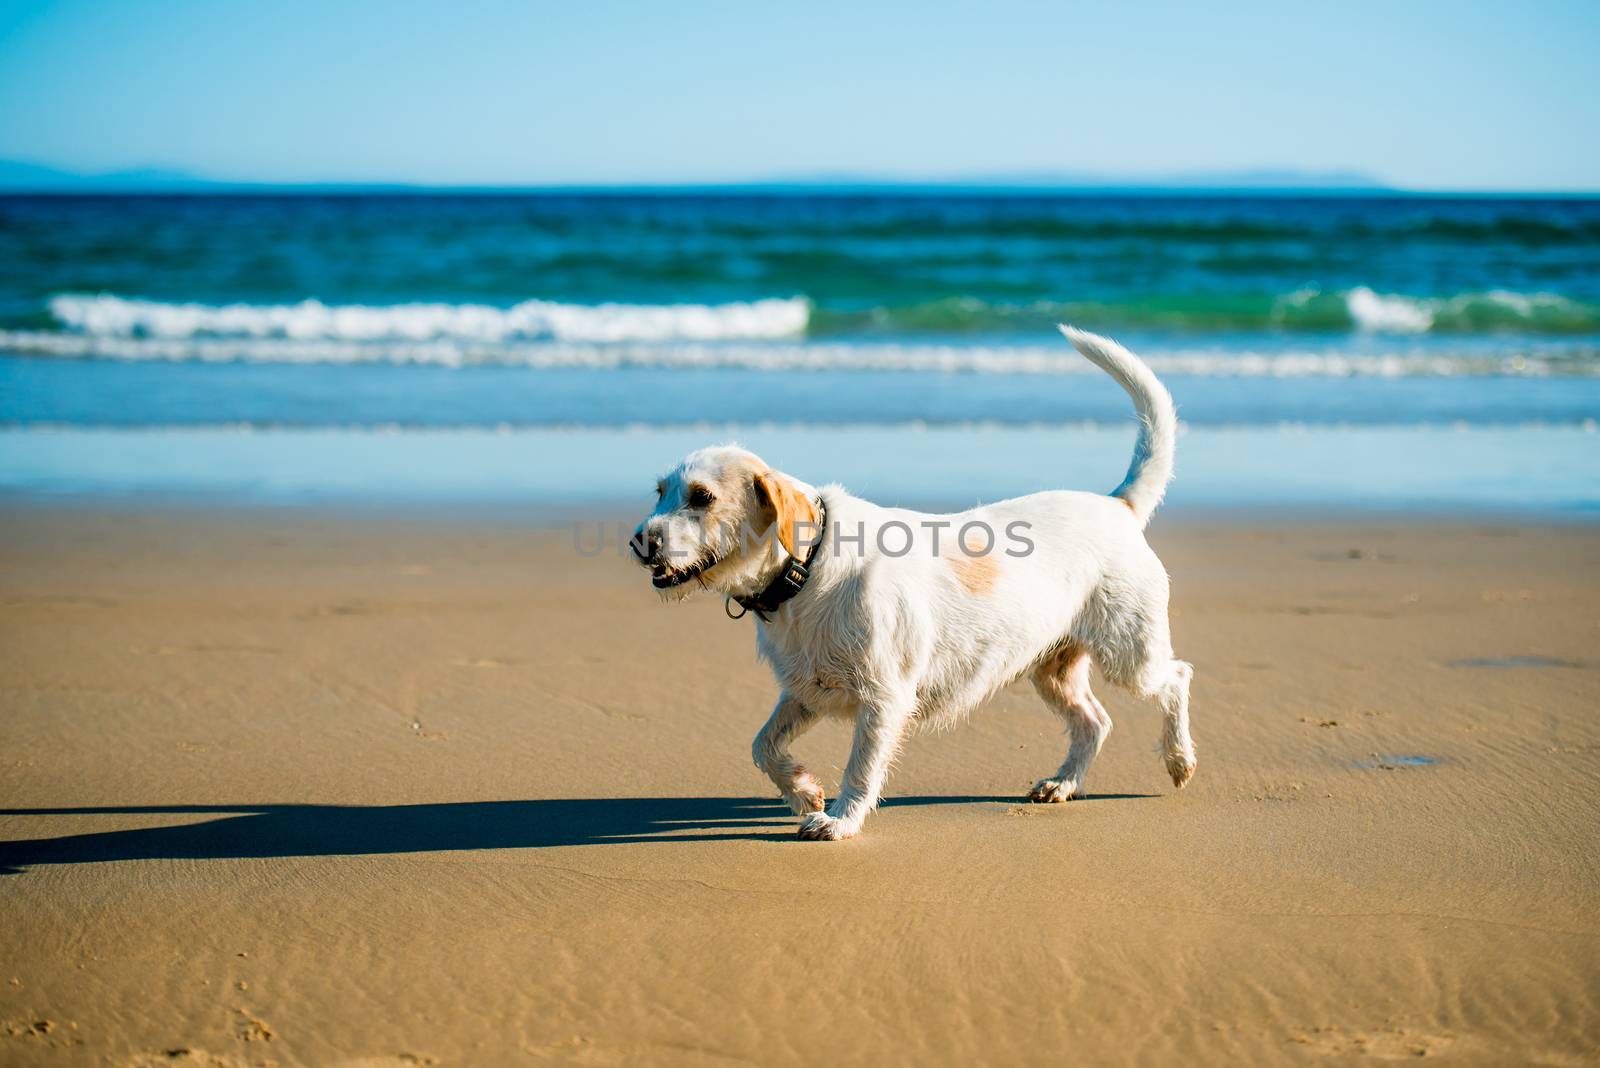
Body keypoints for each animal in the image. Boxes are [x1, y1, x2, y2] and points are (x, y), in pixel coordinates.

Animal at [630, 327, 1196, 844]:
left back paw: (1178, 758)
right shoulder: (806, 690)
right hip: (1052, 669)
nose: (640, 542)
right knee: (1094, 722)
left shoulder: (884, 698)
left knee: (1176, 678)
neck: (807, 569)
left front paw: (840, 819)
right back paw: (1063, 784)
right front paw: (804, 792)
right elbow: (762, 746)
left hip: (1130, 655)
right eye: (660, 492)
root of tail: (1117, 504)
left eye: (702, 497)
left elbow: (861, 767)